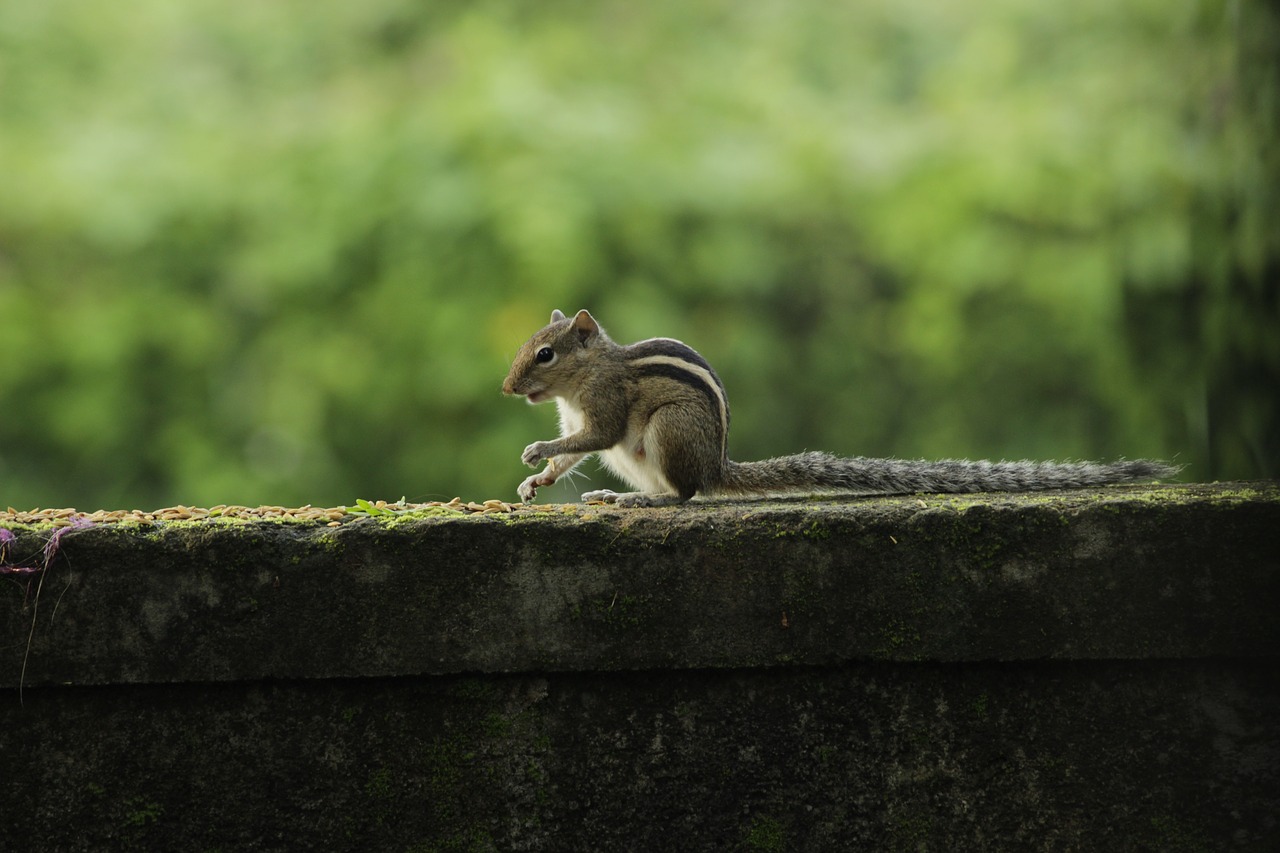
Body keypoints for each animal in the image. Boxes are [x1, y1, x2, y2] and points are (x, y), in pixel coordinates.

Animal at [501, 307, 1177, 504]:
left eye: (545, 355)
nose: (506, 390)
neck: (586, 376)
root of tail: (718, 463)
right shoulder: (579, 414)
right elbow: (571, 454)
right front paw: (537, 479)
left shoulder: (605, 408)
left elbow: (590, 437)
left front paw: (535, 450)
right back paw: (613, 494)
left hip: (668, 431)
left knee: (687, 494)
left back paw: (647, 500)